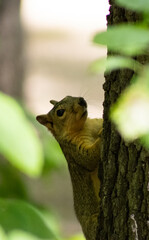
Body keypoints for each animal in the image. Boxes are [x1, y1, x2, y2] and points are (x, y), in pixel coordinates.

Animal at [36, 96, 103, 240]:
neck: (84, 126)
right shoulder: (73, 150)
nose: (81, 100)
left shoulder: (94, 123)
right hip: (93, 222)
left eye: (68, 96)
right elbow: (88, 159)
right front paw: (104, 133)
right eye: (60, 112)